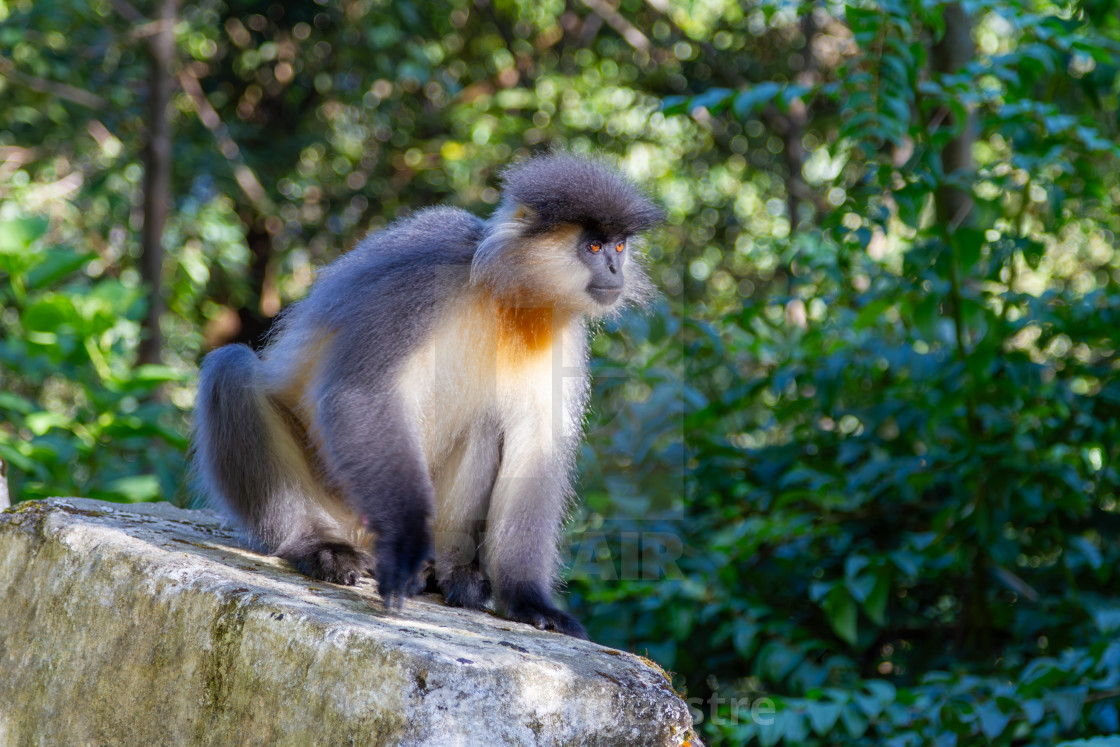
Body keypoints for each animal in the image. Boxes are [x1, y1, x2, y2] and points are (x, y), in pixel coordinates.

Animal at [192, 154, 663, 640]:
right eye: (594, 247)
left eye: (620, 247)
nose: (615, 272)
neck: (508, 296)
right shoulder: (427, 276)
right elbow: (358, 393)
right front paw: (404, 544)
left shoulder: (561, 331)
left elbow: (537, 448)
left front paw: (528, 599)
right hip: (339, 498)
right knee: (231, 369)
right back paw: (316, 545)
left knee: (485, 424)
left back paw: (448, 572)